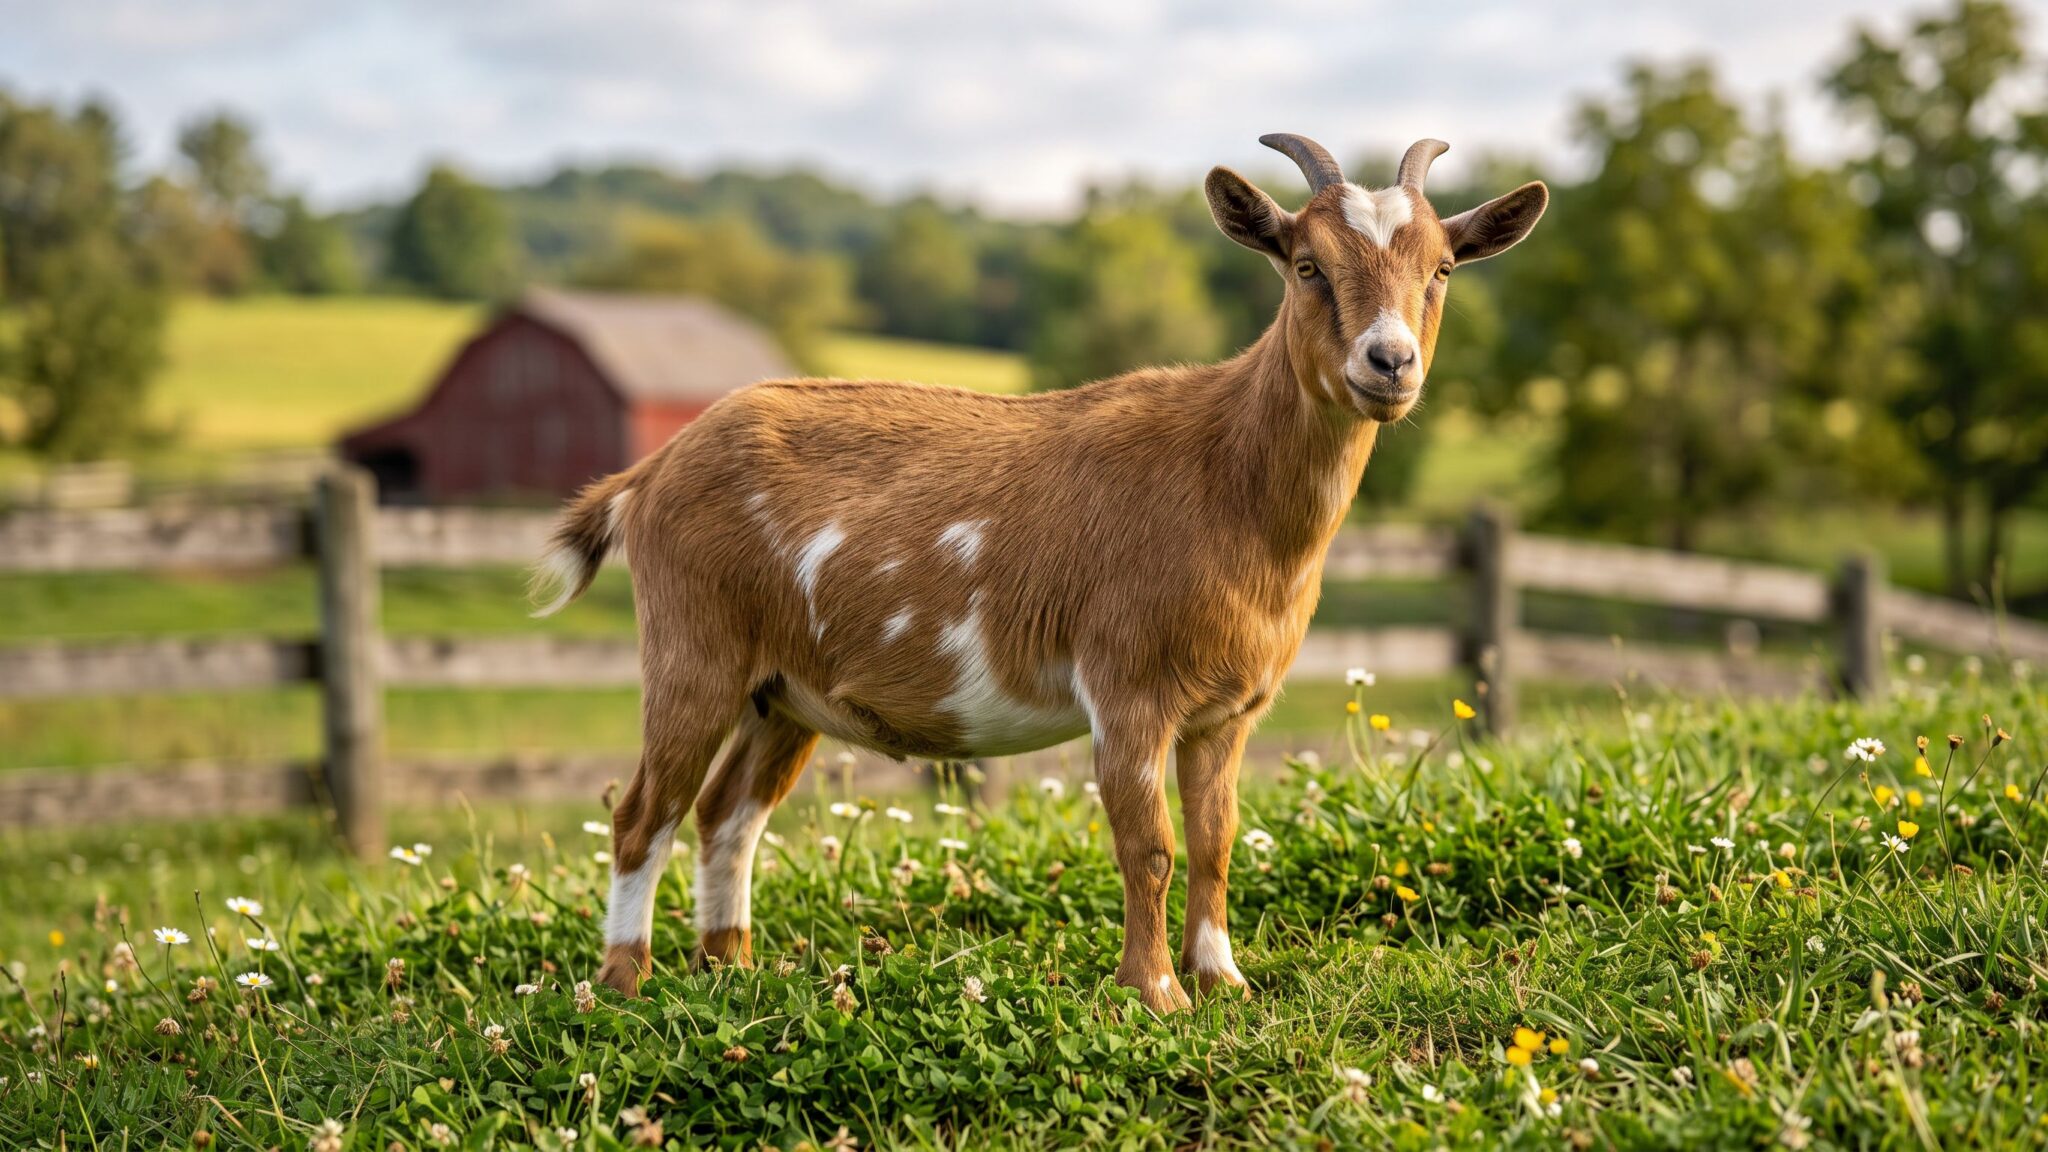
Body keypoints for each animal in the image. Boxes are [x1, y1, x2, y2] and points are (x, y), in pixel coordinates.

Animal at [533, 134, 1547, 1012]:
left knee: (727, 813)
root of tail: (650, 473)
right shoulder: (1129, 684)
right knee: (645, 812)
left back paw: (733, 970)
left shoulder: (1229, 709)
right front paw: (1155, 994)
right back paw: (623, 982)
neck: (1224, 478)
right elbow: (1149, 845)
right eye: (1306, 265)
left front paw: (1222, 979)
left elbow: (1216, 841)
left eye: (1442, 269)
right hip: (693, 647)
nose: (1390, 362)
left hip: (781, 690)